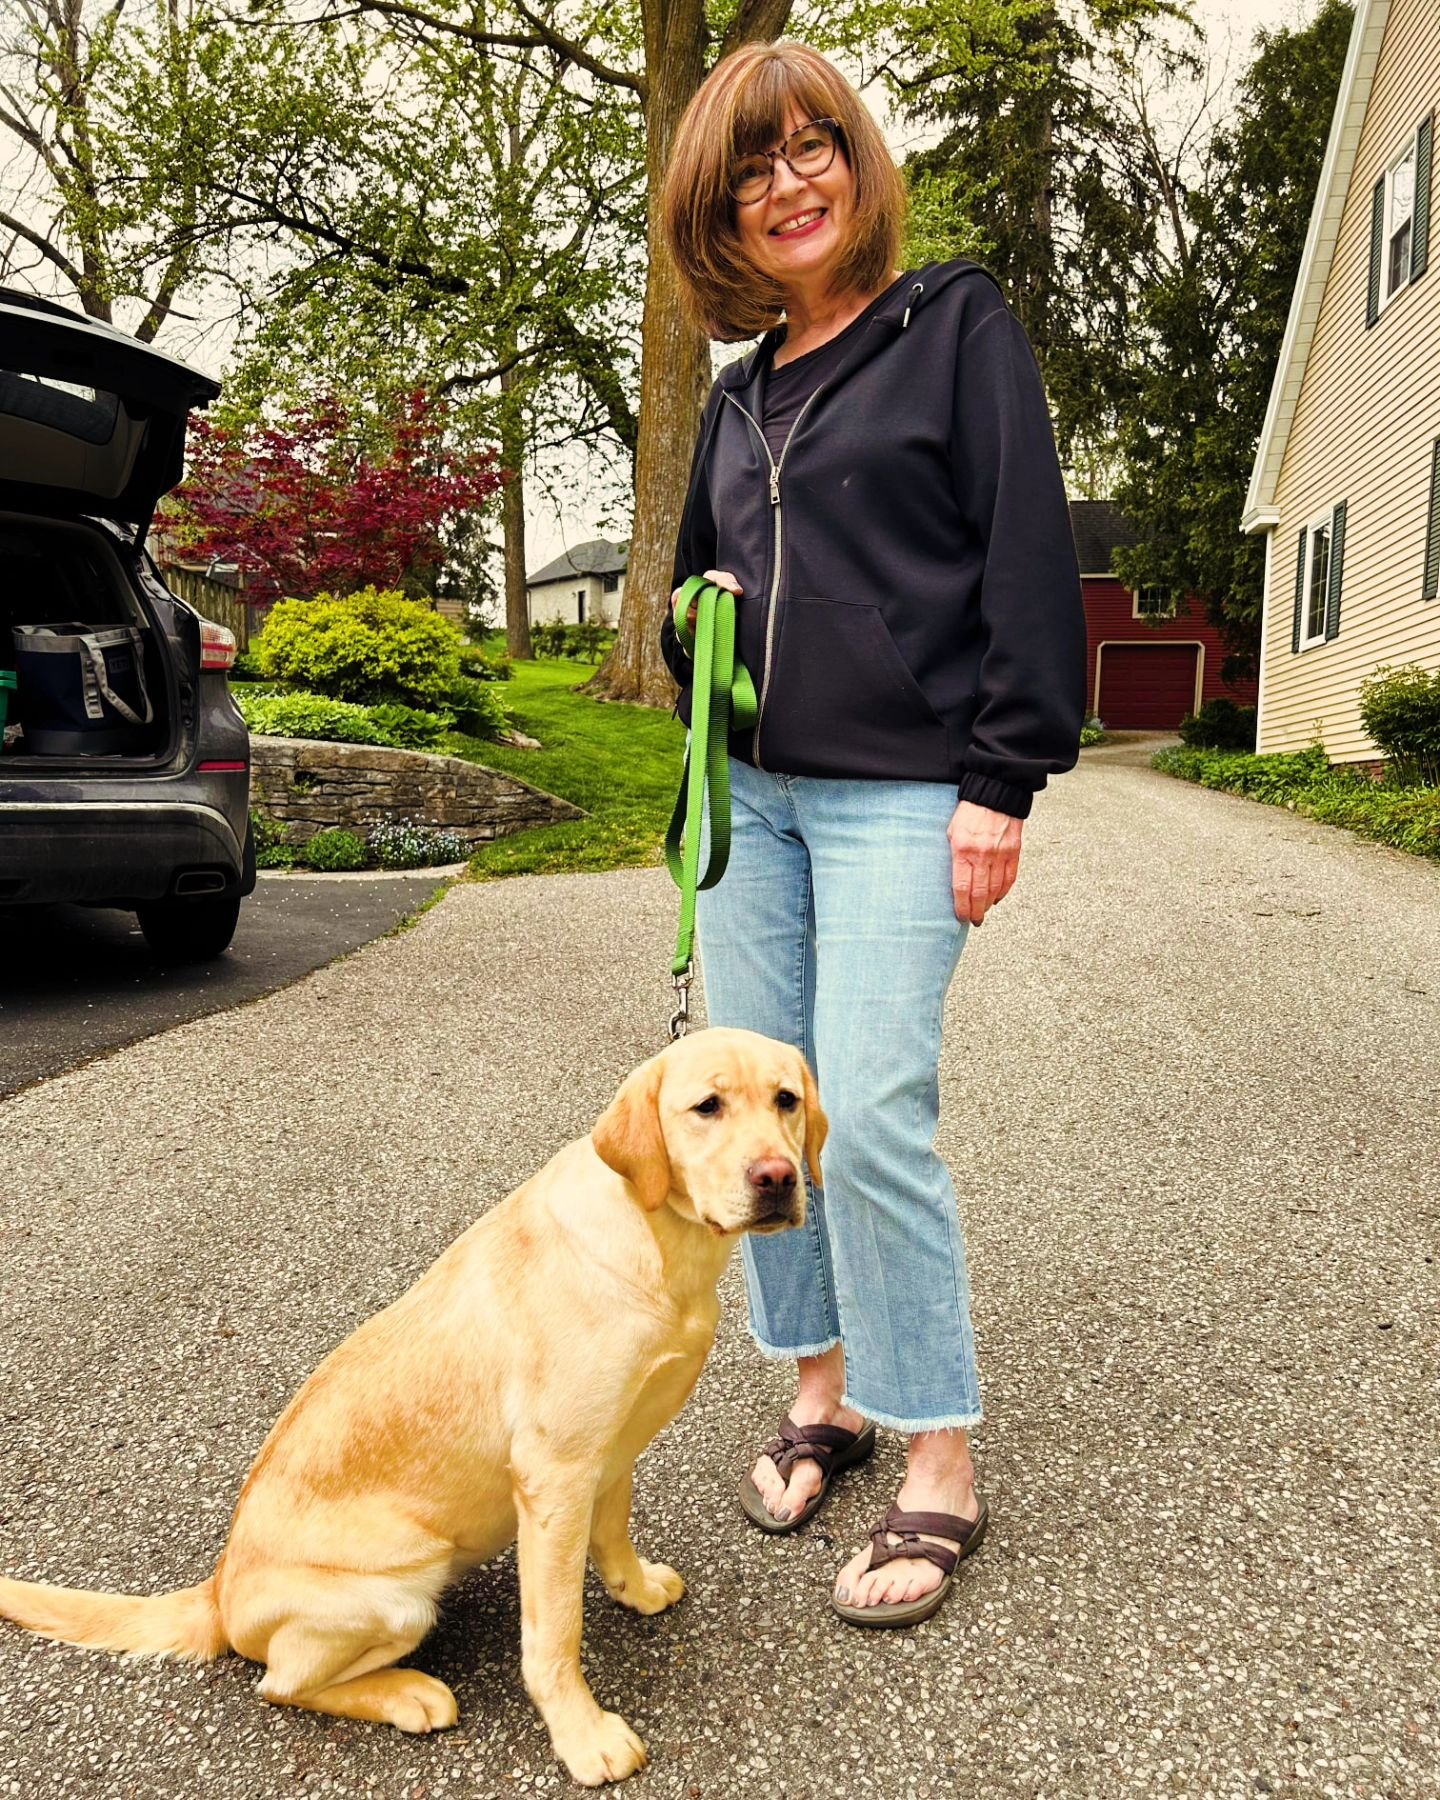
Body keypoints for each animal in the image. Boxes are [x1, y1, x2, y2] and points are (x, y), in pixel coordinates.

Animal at [0, 1029, 820, 1785]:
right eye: (706, 1107)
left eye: (786, 1100)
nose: (778, 1177)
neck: (660, 1237)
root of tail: (219, 1589)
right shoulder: (554, 1476)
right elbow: (554, 1634)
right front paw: (583, 1736)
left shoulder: (609, 1450)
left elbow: (613, 1538)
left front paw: (638, 1589)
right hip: (402, 1589)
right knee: (280, 1683)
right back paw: (408, 1694)